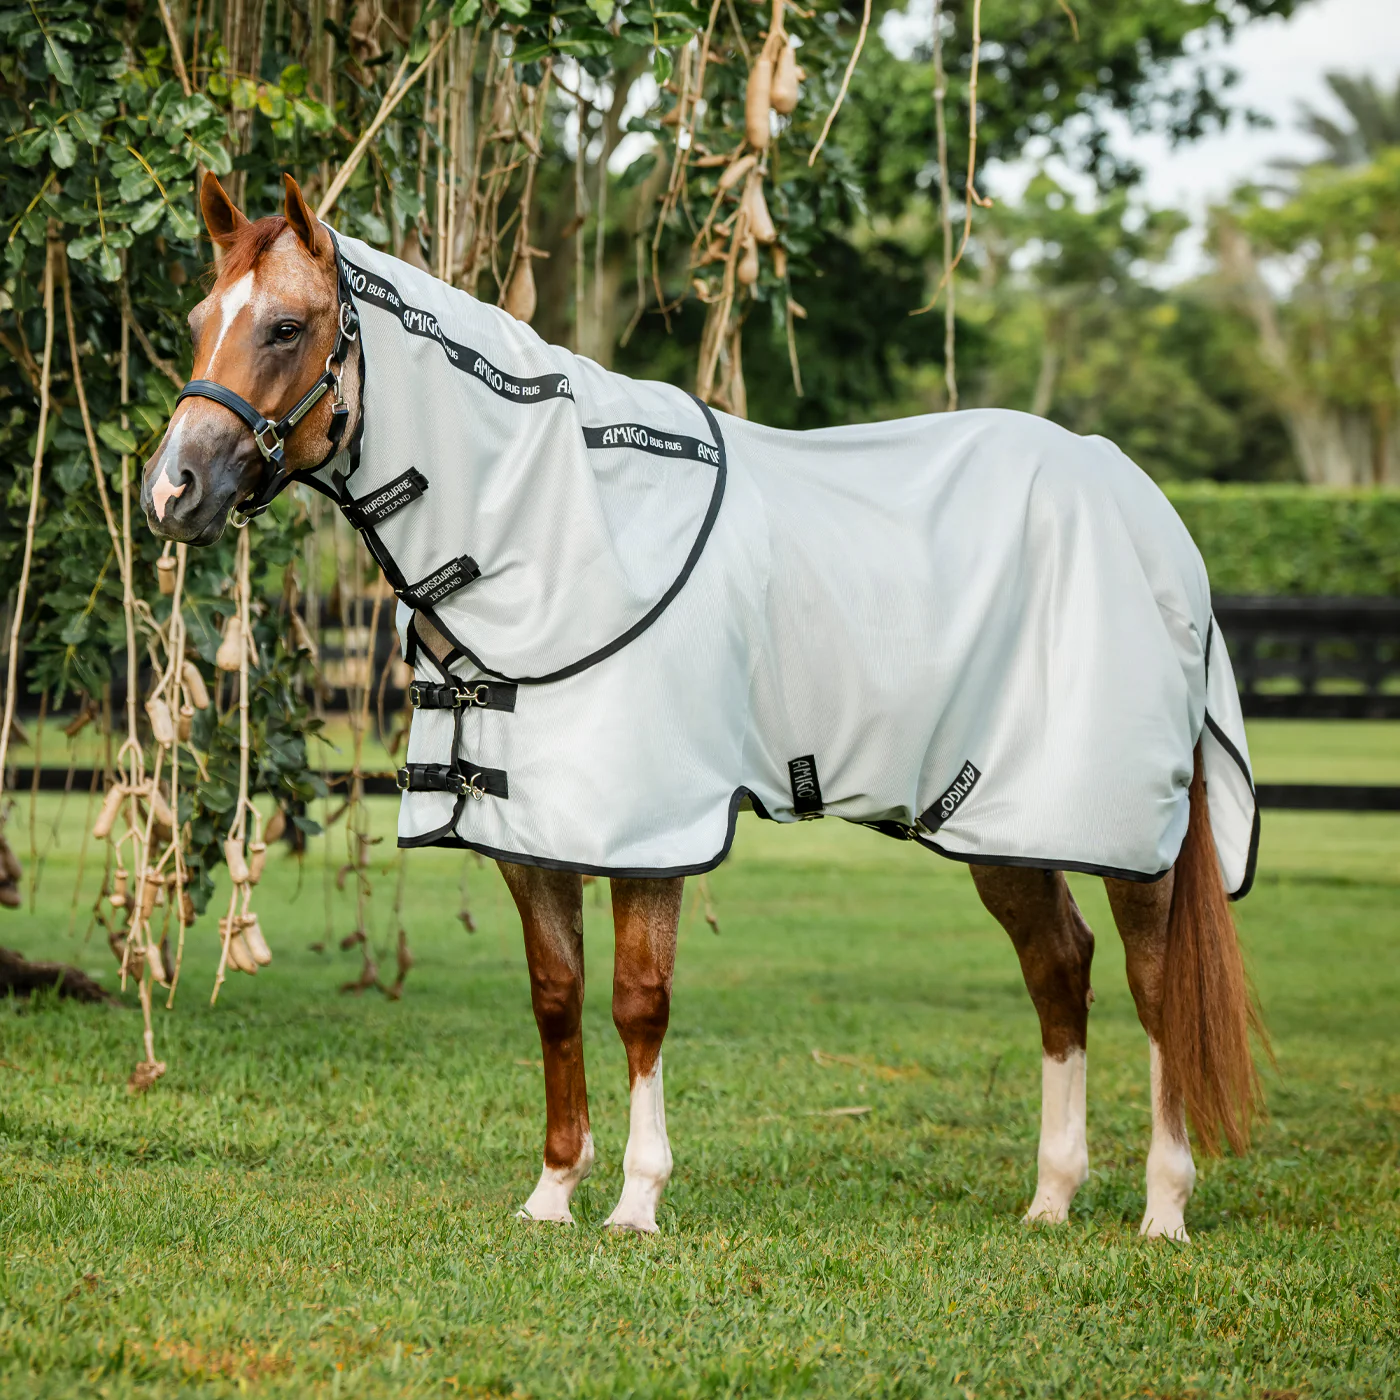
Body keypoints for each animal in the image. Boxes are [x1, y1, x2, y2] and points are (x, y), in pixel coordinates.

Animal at [142, 173, 1264, 1240]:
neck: (557, 531)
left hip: (1124, 829)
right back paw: (1051, 1198)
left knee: (1155, 983)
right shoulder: (528, 833)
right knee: (1058, 968)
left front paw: (637, 1201)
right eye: (197, 317)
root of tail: (1143, 504)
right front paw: (552, 1192)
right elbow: (556, 998)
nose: (172, 490)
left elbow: (640, 1002)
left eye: (287, 326)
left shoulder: (651, 831)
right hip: (999, 819)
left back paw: (1163, 1207)